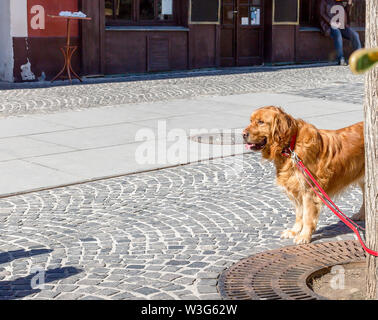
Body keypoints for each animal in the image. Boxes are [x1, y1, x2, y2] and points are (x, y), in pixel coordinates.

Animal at [244, 106, 364, 244]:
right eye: (251, 121)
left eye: (261, 122)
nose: (243, 134)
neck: (291, 147)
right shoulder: (297, 189)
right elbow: (299, 214)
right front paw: (294, 231)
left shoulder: (309, 191)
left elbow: (307, 216)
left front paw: (304, 236)